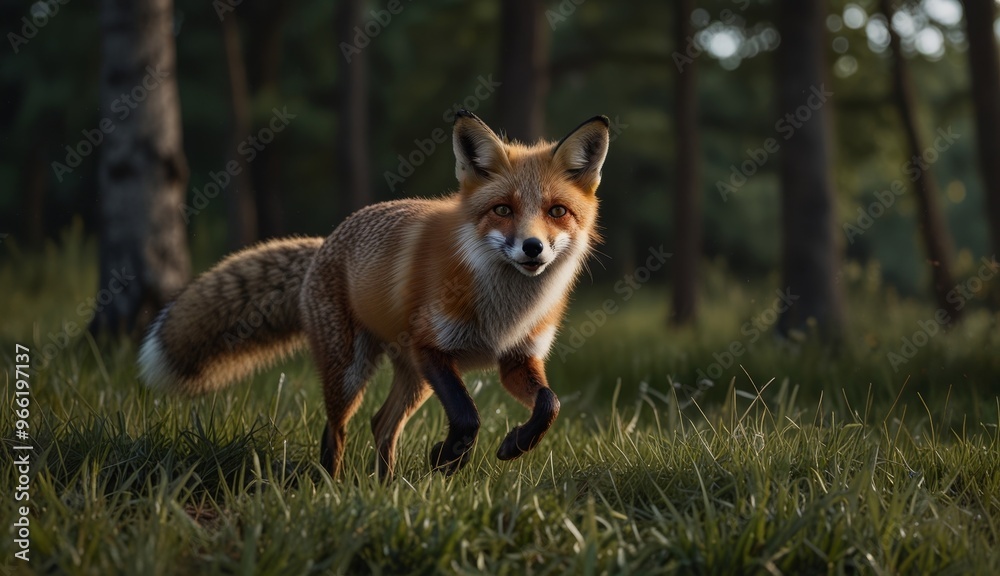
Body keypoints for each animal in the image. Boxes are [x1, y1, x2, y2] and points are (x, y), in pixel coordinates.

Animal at [138, 110, 611, 480]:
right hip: (353, 371)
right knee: (337, 430)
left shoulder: (517, 359)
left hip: (415, 378)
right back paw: (332, 488)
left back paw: (388, 490)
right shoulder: (431, 347)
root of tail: (324, 242)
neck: (505, 312)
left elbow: (549, 405)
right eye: (502, 210)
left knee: (382, 424)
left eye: (556, 211)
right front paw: (448, 459)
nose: (533, 248)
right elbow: (467, 416)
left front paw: (514, 445)